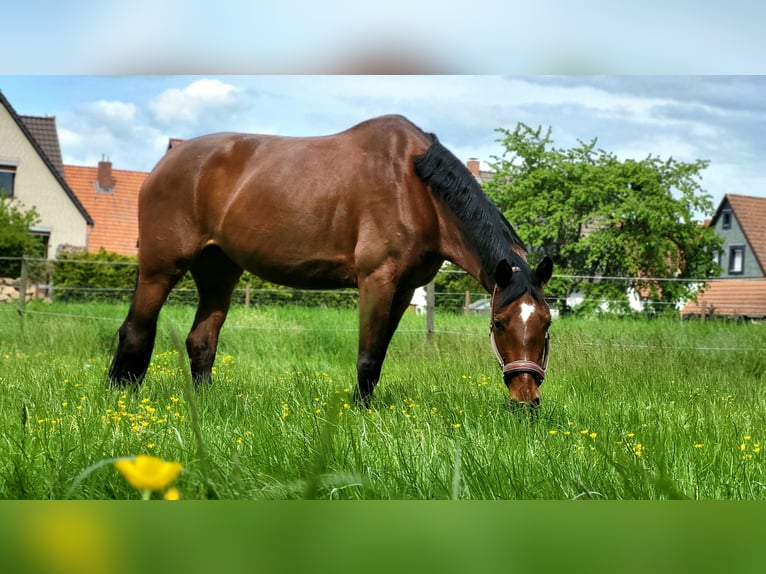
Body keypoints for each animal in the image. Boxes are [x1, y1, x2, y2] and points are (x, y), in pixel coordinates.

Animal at [106, 115, 552, 408]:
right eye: (499, 323)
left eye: (546, 323)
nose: (526, 400)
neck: (415, 187)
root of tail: (165, 164)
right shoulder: (377, 280)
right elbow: (368, 356)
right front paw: (360, 414)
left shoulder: (404, 288)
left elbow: (379, 355)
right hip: (161, 267)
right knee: (135, 331)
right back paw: (119, 397)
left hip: (219, 272)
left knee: (201, 341)